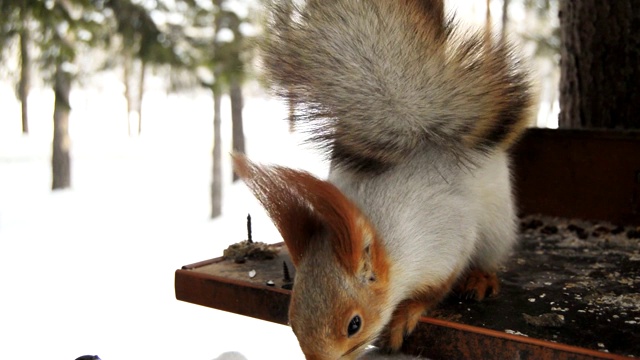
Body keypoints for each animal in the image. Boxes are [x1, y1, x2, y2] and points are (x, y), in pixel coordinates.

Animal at [232, 0, 532, 358]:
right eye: (293, 319)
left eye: (354, 325)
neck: (383, 231)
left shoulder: (448, 242)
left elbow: (435, 289)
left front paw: (406, 313)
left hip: (497, 227)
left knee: (488, 257)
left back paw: (481, 278)